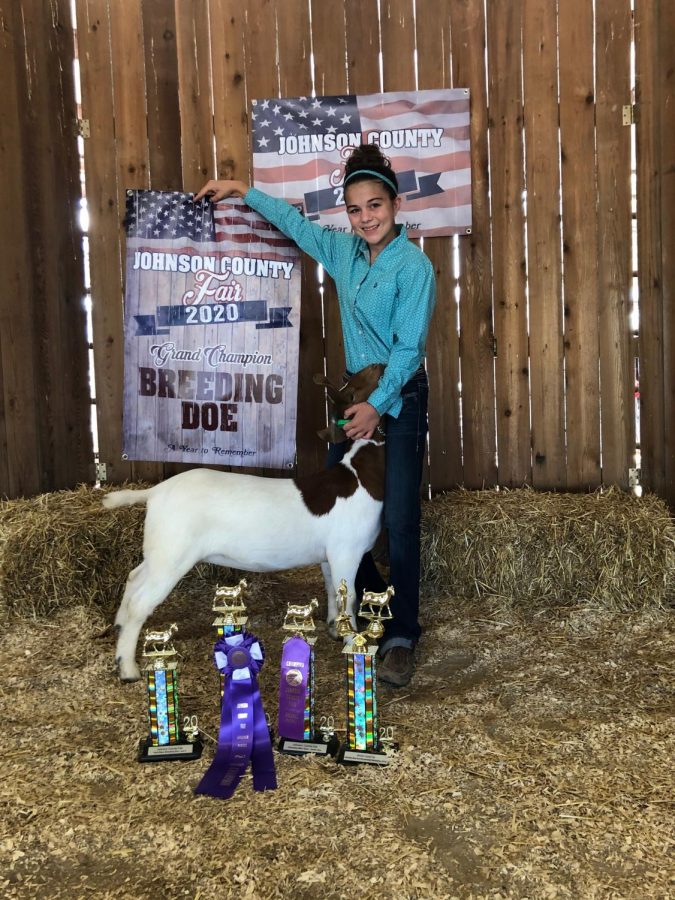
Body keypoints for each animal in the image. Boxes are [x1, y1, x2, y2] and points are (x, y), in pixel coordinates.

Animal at [103, 362, 382, 680]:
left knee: (134, 578)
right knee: (140, 602)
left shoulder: (327, 554)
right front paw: (353, 641)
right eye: (354, 389)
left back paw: (118, 628)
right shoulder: (347, 550)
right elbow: (349, 596)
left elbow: (333, 589)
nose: (380, 366)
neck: (360, 476)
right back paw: (127, 667)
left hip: (159, 550)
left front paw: (335, 629)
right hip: (172, 554)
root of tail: (156, 491)